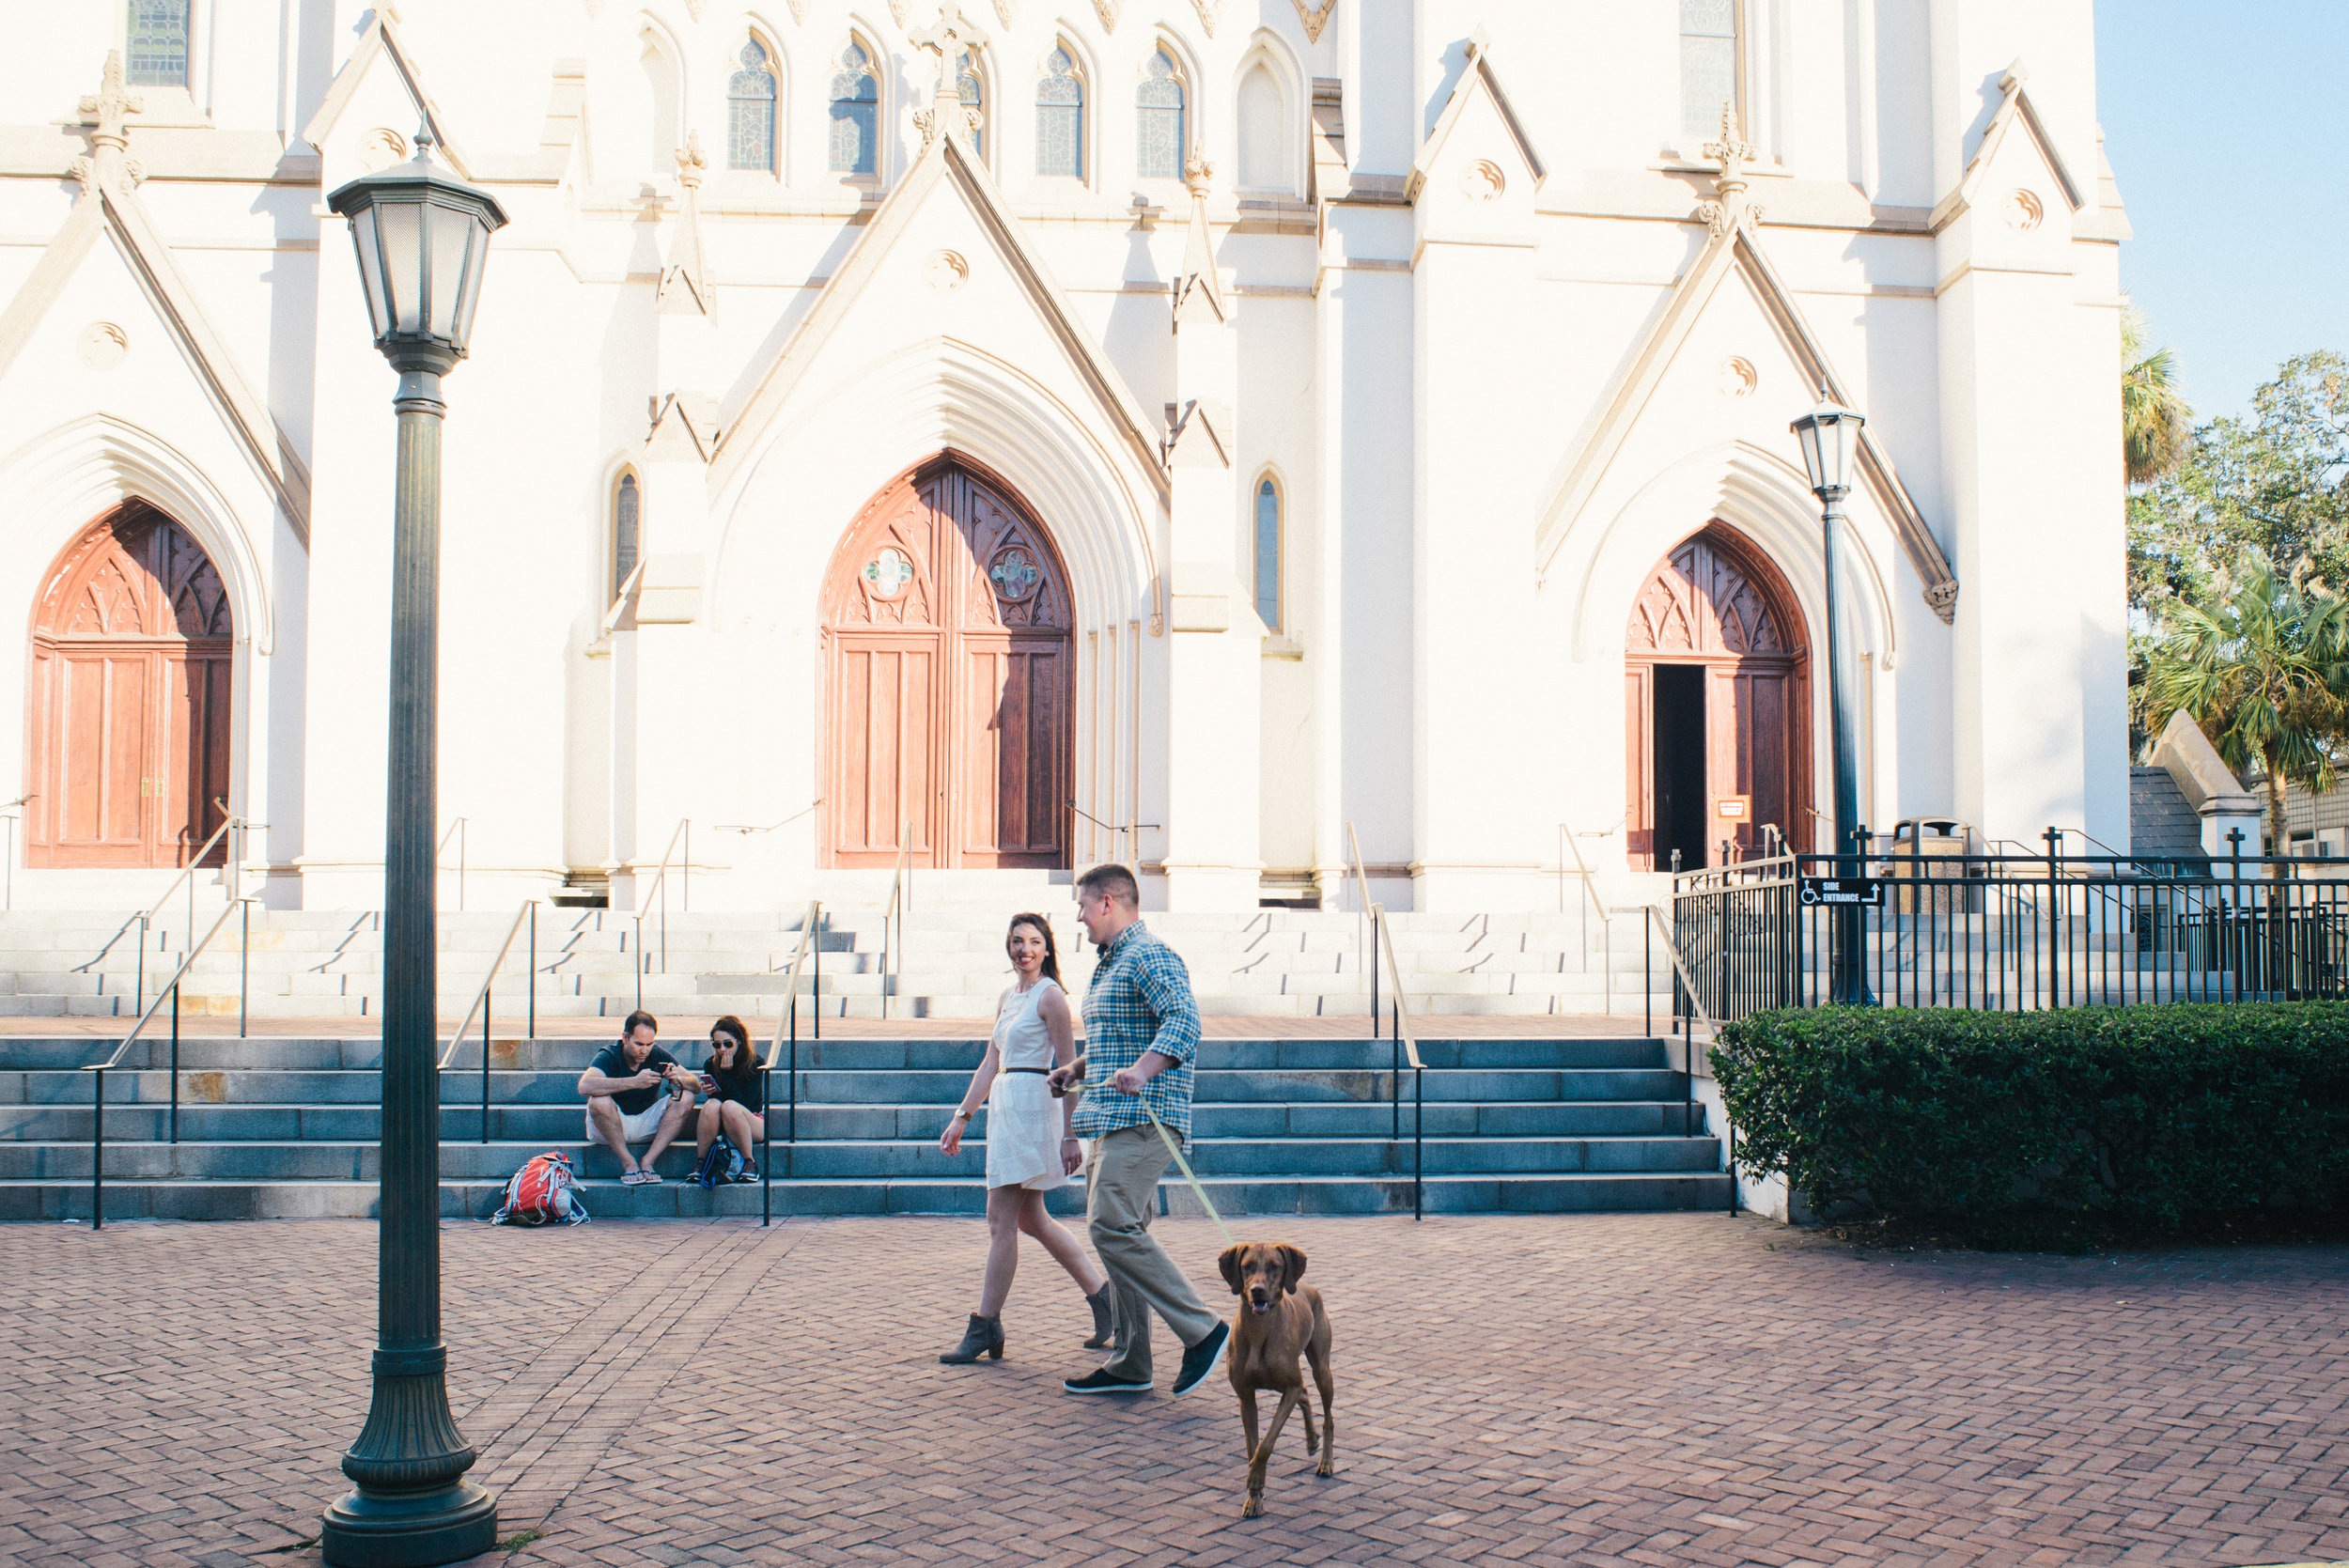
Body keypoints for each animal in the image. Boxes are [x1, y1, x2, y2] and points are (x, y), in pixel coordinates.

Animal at [1221, 1239, 1334, 1512]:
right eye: (1247, 1266)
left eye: (1275, 1266)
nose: (1257, 1291)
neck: (1259, 1330)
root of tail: (1306, 1285)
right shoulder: (1246, 1397)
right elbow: (1252, 1446)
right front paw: (1254, 1498)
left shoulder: (1290, 1386)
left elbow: (1266, 1444)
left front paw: (1255, 1478)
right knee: (1305, 1393)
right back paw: (1311, 1440)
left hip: (1322, 1371)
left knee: (1327, 1417)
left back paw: (1326, 1461)